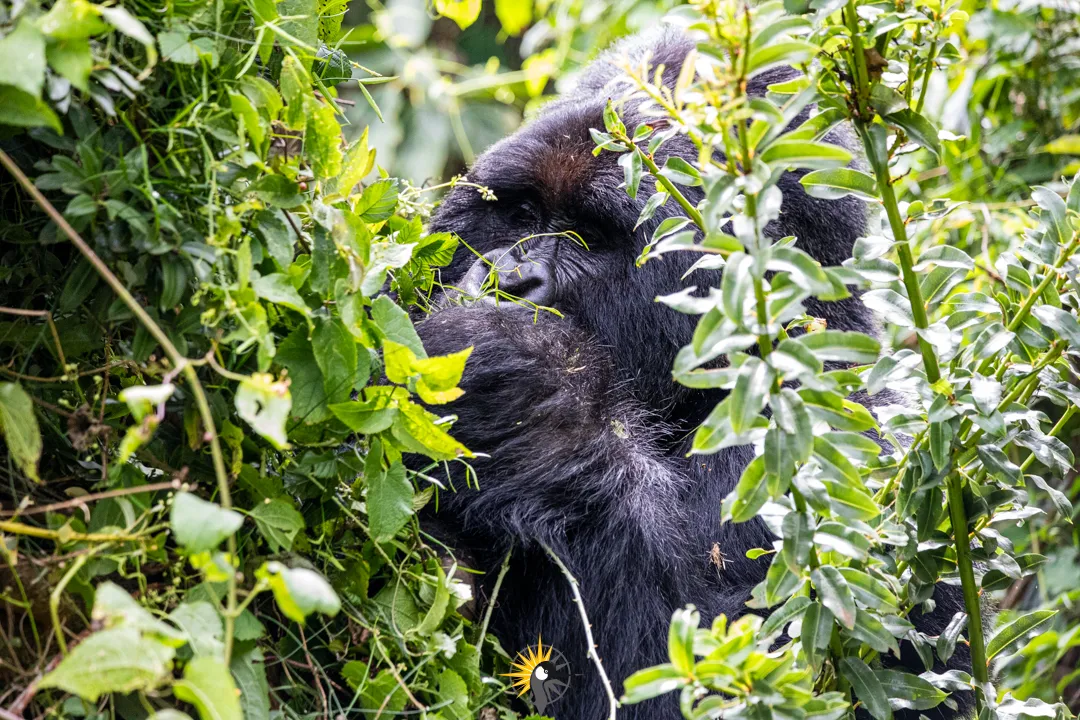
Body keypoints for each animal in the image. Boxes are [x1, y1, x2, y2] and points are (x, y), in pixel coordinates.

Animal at [414, 28, 972, 720]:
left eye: (587, 237)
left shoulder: (839, 442)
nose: (509, 278)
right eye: (520, 215)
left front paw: (526, 386)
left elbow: (702, 668)